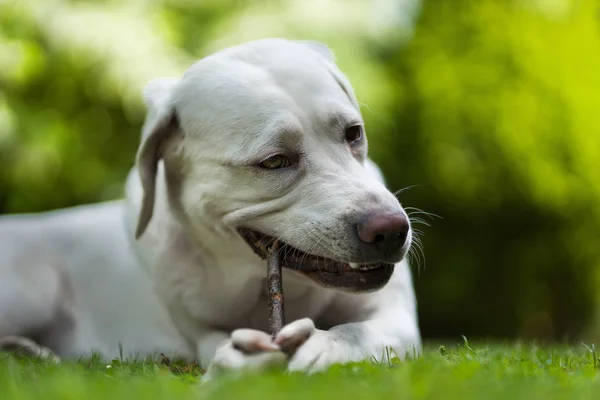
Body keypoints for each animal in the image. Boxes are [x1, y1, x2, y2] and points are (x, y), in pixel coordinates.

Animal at [0, 39, 422, 380]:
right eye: (274, 161)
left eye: (353, 133)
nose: (390, 230)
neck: (252, 280)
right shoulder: (198, 330)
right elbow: (217, 346)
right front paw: (240, 358)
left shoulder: (397, 319)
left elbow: (359, 330)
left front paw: (326, 345)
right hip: (33, 287)